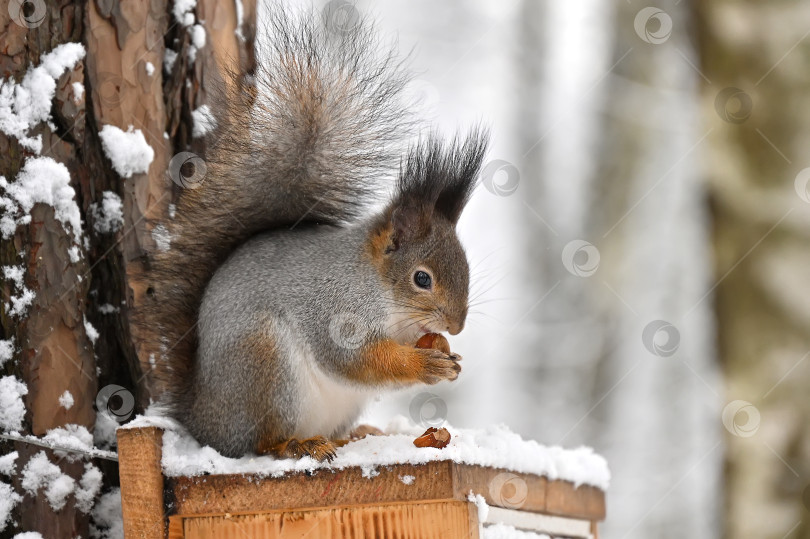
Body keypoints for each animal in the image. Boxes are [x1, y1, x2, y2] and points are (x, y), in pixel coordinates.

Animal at [140, 6, 486, 462]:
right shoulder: (334, 310)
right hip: (265, 364)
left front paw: (442, 349)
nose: (457, 325)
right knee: (260, 442)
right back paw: (296, 444)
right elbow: (356, 359)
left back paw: (355, 435)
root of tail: (204, 420)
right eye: (422, 279)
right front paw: (426, 364)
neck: (382, 292)